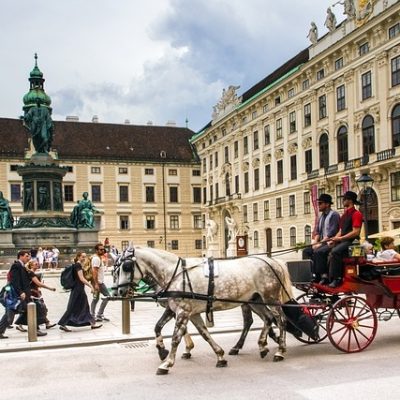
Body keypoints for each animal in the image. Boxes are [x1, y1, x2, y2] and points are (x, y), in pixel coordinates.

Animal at [114, 244, 292, 376]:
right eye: (115, 270)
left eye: (127, 266)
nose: (119, 291)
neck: (175, 274)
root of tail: (273, 261)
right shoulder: (186, 311)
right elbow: (201, 332)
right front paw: (219, 356)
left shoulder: (183, 311)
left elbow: (176, 338)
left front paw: (167, 363)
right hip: (255, 300)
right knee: (267, 319)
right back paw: (262, 345)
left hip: (270, 298)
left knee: (280, 320)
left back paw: (280, 350)